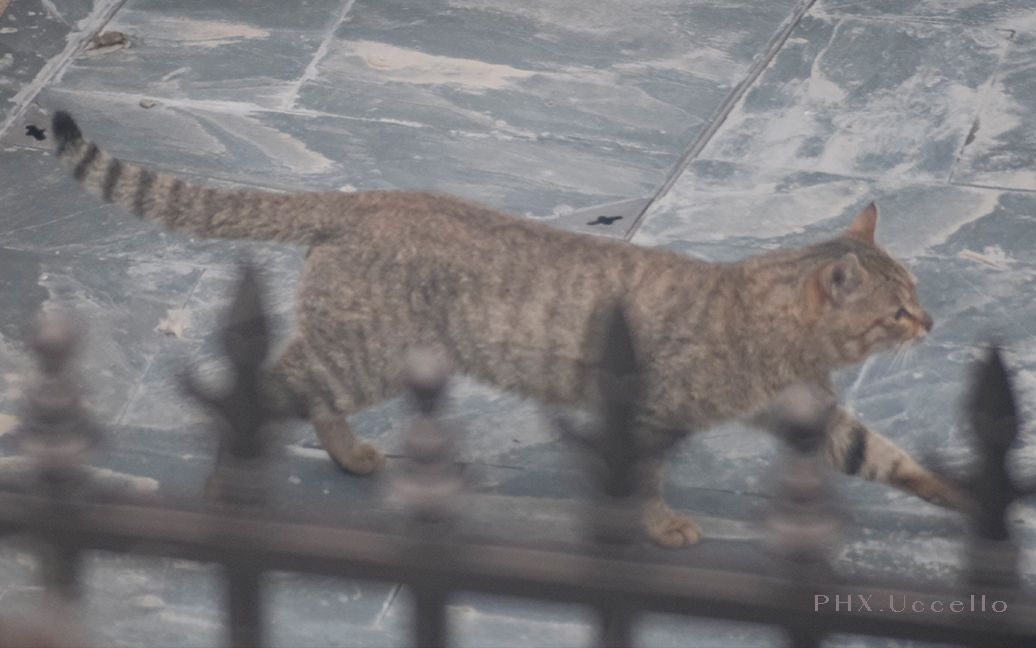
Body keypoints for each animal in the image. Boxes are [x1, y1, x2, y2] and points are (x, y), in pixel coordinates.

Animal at [52, 110, 965, 547]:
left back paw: (348, 458)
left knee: (306, 394)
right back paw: (225, 487)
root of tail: (370, 197)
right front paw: (660, 525)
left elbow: (880, 454)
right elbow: (641, 478)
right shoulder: (649, 412)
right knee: (269, 387)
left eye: (918, 291)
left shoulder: (811, 412)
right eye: (897, 307)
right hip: (363, 352)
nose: (931, 319)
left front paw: (953, 495)